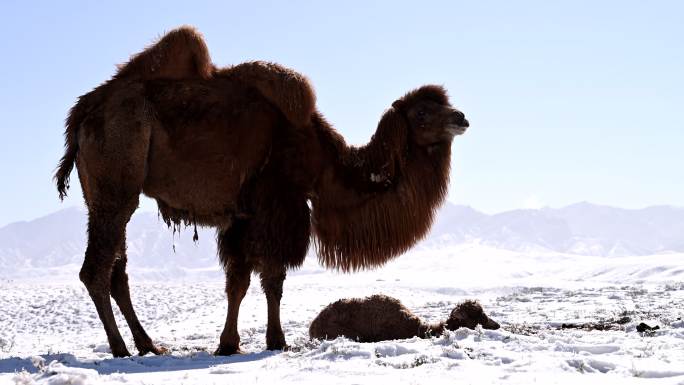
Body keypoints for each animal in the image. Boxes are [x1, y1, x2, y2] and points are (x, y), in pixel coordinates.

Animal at [54, 26, 470, 356]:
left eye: (446, 104)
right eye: (421, 113)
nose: (461, 118)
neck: (323, 159)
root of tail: (82, 116)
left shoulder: (243, 217)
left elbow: (237, 282)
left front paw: (228, 344)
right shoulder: (277, 205)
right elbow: (272, 279)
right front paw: (275, 340)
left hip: (103, 193)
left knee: (117, 270)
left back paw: (148, 345)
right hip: (116, 179)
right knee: (96, 269)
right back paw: (121, 349)